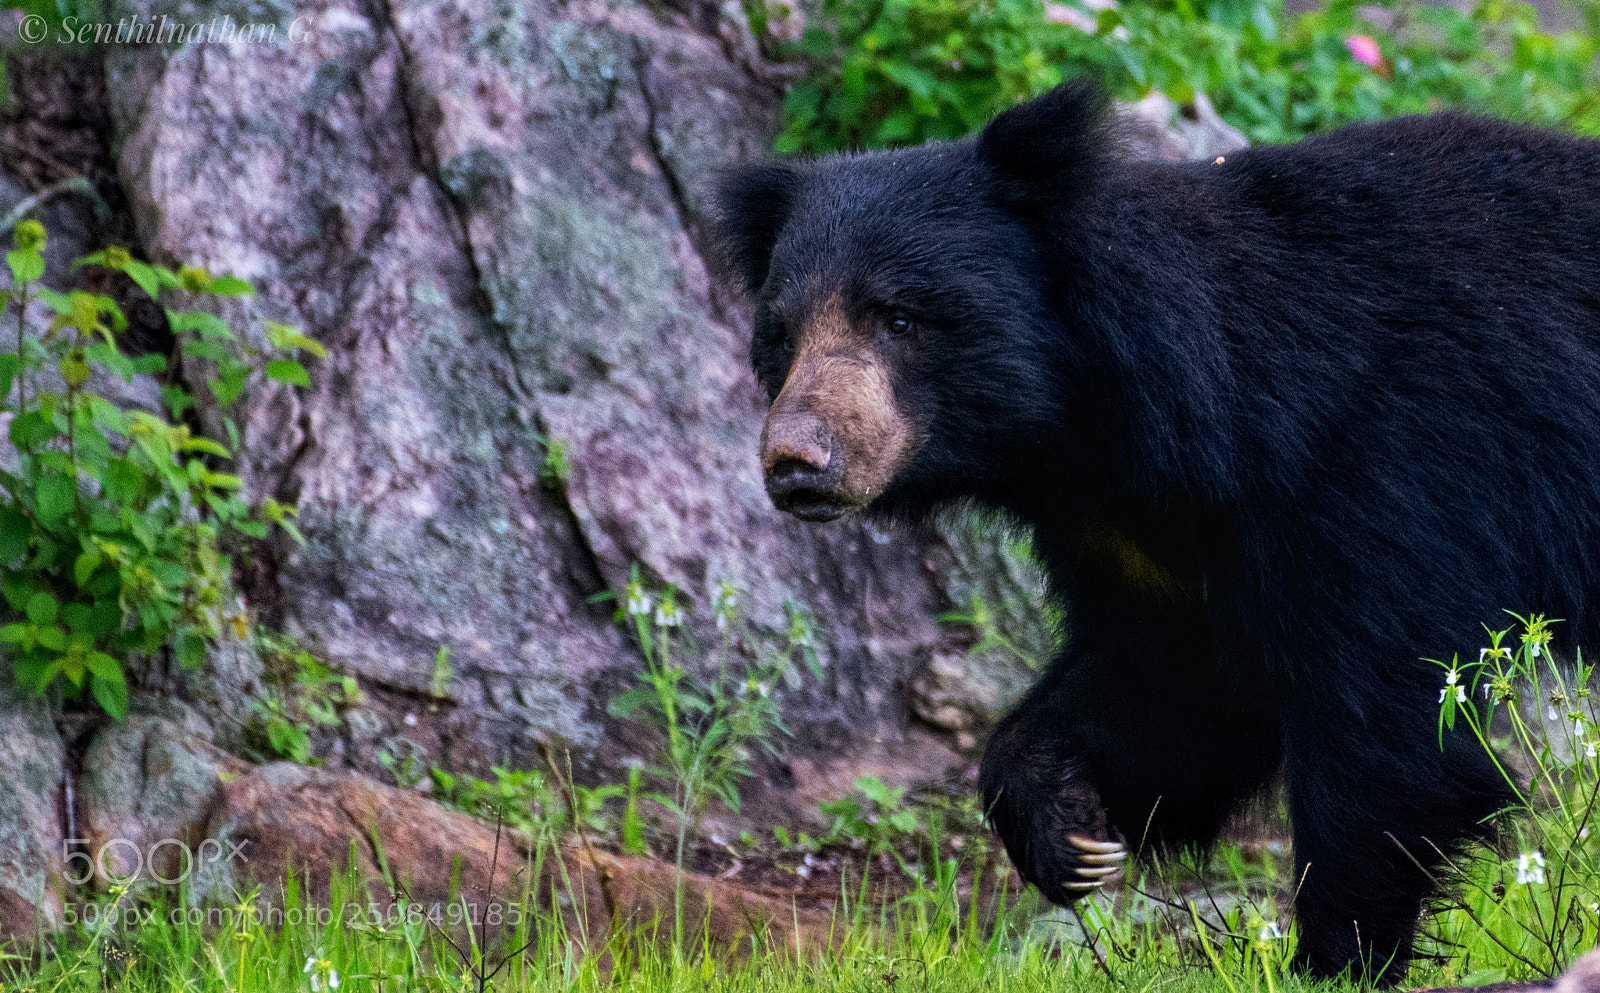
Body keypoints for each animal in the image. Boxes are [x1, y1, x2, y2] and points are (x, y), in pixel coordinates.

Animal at [709, 80, 1600, 983]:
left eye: (897, 317)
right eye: (781, 335)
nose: (796, 460)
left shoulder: (1391, 469)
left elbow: (1382, 727)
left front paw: (1333, 960)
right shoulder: (1151, 536)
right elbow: (1171, 680)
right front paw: (1067, 829)